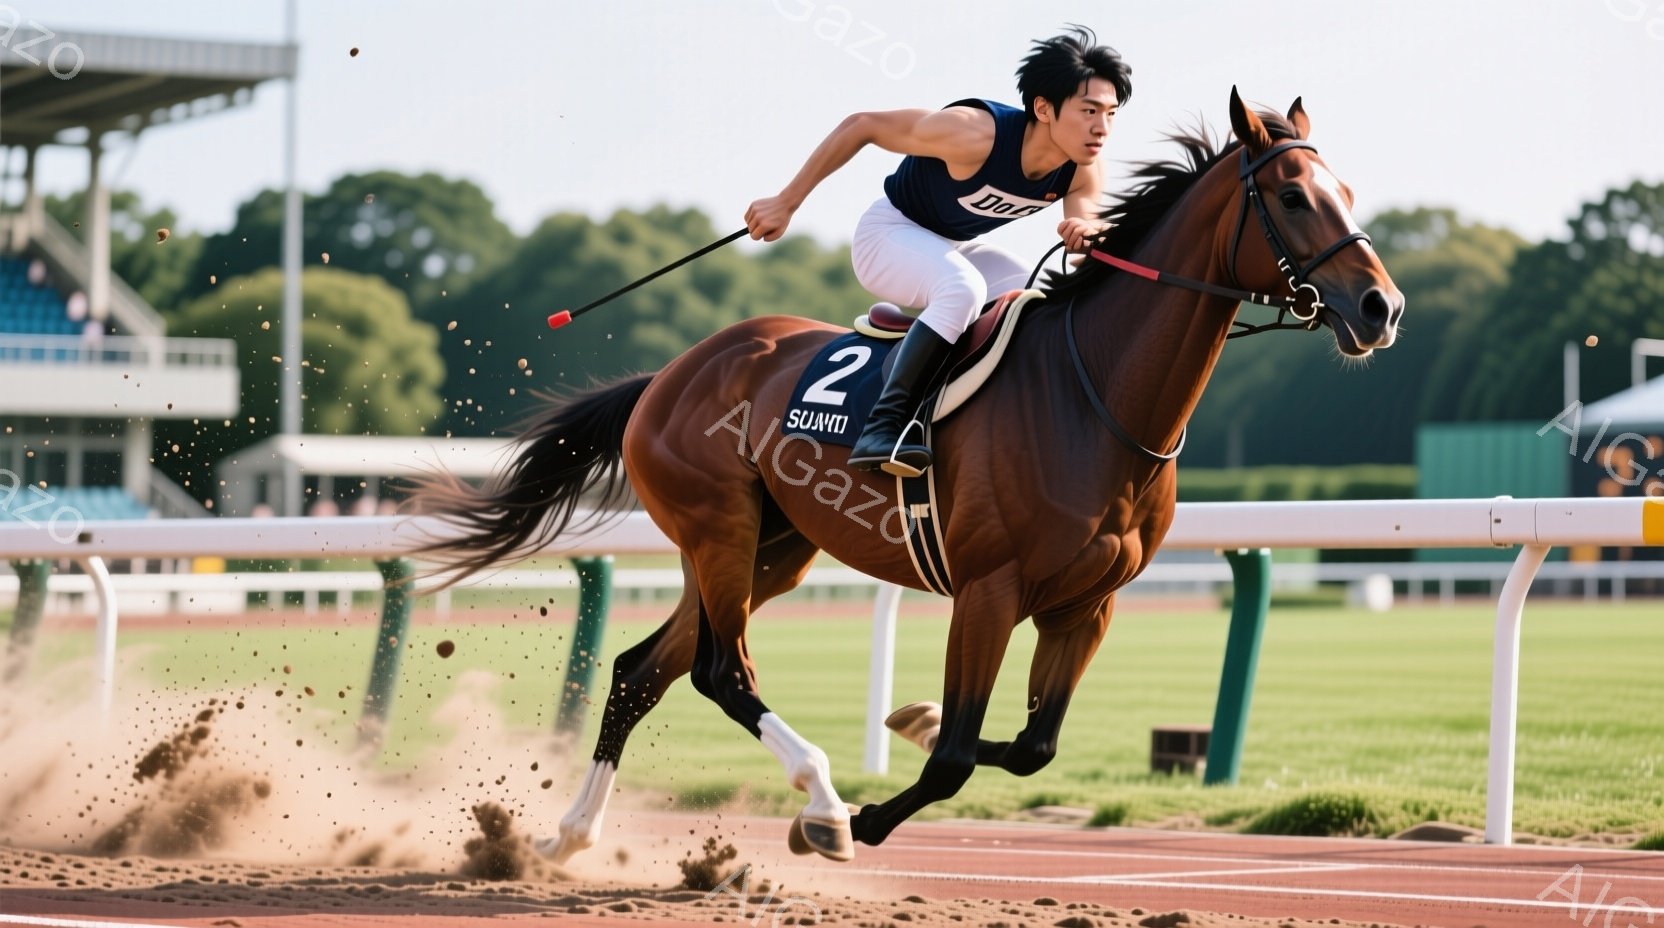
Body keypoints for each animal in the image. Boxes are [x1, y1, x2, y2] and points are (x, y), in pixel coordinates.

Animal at [412, 88, 1404, 863]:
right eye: (1292, 195)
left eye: (1347, 192)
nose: (1380, 306)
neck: (1094, 395)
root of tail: (668, 374)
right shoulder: (990, 589)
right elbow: (956, 756)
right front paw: (867, 808)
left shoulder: (1088, 605)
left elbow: (1033, 746)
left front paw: (912, 719)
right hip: (719, 530)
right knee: (721, 673)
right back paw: (819, 801)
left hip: (769, 548)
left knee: (641, 671)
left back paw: (568, 836)